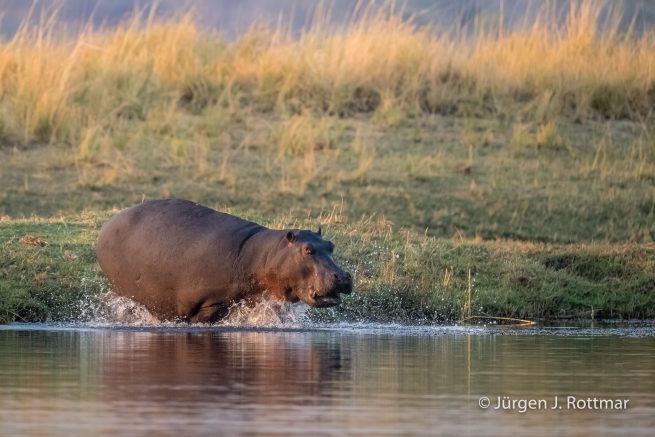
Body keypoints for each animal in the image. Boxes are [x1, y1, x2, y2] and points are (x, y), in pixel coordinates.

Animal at [96, 199, 352, 323]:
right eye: (307, 250)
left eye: (331, 245)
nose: (343, 275)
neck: (263, 255)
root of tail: (107, 225)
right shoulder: (208, 304)